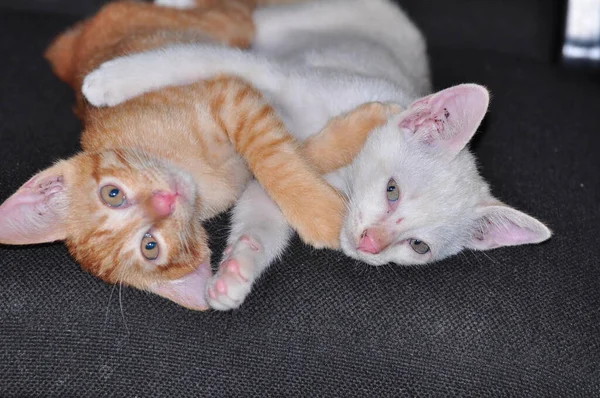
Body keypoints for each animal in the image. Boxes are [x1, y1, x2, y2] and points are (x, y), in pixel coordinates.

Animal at [0, 0, 394, 310]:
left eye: (112, 194)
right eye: (150, 247)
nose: (166, 199)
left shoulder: (230, 97)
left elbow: (274, 160)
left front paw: (319, 212)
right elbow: (295, 150)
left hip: (227, 26)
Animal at [82, 0, 552, 310]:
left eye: (418, 246)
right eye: (393, 190)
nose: (369, 244)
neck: (344, 174)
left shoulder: (280, 179)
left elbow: (266, 211)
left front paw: (236, 273)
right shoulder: (280, 76)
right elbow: (195, 60)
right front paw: (111, 80)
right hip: (285, 22)